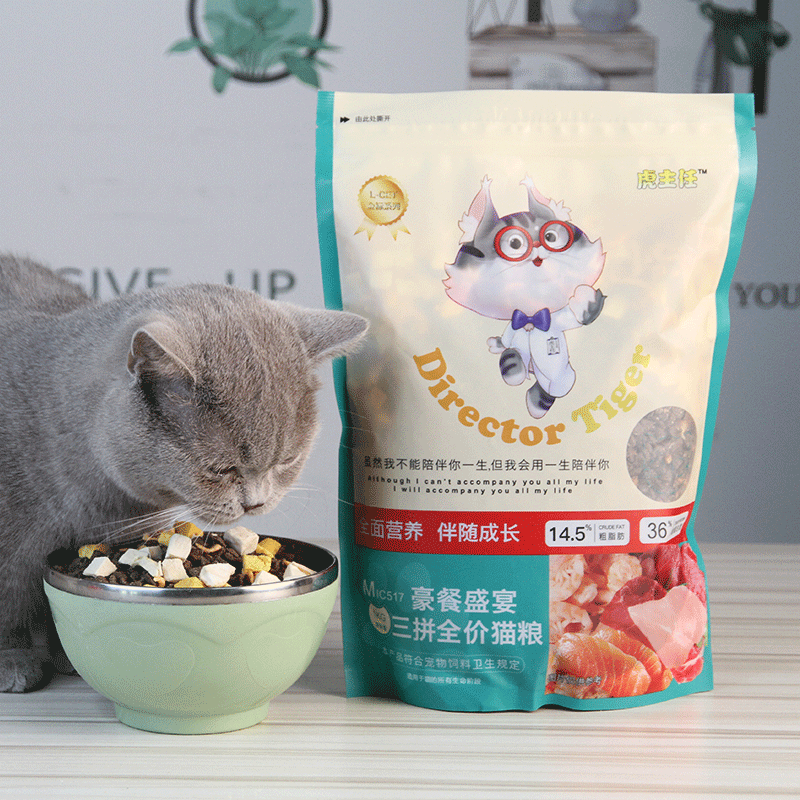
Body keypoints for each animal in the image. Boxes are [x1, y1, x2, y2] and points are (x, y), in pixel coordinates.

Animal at [0, 254, 367, 692]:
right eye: (220, 469)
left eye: (286, 461)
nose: (256, 504)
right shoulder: (9, 553)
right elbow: (8, 608)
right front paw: (13, 662)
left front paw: (62, 655)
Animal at [444, 176, 606, 418]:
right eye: (515, 243)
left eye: (551, 237)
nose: (537, 247)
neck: (530, 317)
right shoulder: (514, 327)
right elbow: (509, 351)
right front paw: (506, 356)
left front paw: (583, 300)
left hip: (561, 375)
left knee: (554, 387)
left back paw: (536, 404)